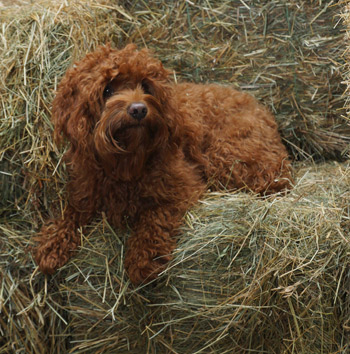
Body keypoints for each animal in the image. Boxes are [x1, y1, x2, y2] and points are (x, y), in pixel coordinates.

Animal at [32, 43, 292, 284]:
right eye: (107, 89)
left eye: (146, 86)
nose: (138, 109)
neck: (125, 161)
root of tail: (263, 110)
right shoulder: (86, 190)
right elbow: (71, 213)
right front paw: (52, 244)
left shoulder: (182, 186)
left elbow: (156, 215)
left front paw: (144, 258)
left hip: (227, 156)